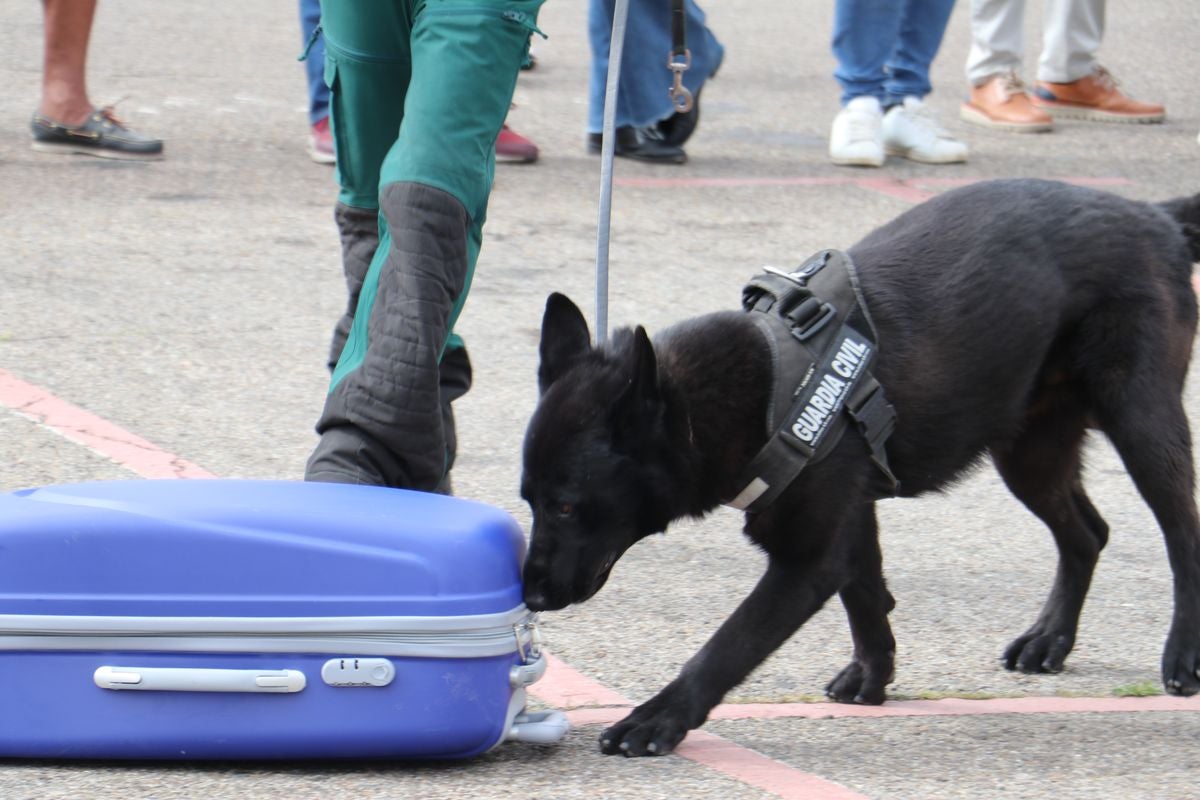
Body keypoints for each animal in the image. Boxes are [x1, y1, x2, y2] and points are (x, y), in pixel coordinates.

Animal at [520, 179, 1200, 758]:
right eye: (529, 500)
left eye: (566, 505)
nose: (530, 594)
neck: (759, 393)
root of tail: (1153, 215)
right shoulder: (852, 514)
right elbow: (865, 594)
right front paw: (874, 675)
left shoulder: (805, 560)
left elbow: (728, 644)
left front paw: (659, 716)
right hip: (1028, 451)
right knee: (1086, 533)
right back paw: (1049, 639)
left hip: (1141, 420)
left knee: (1180, 535)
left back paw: (1182, 658)